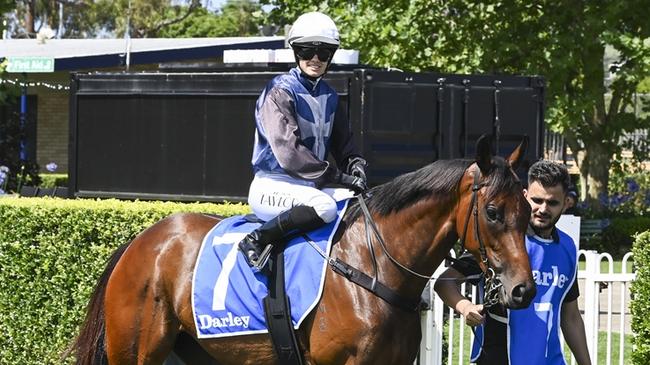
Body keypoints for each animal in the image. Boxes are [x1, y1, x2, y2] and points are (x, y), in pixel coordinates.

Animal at [71, 135, 536, 362]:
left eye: (528, 208)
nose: (523, 290)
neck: (373, 269)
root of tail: (140, 242)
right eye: (492, 211)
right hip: (136, 349)